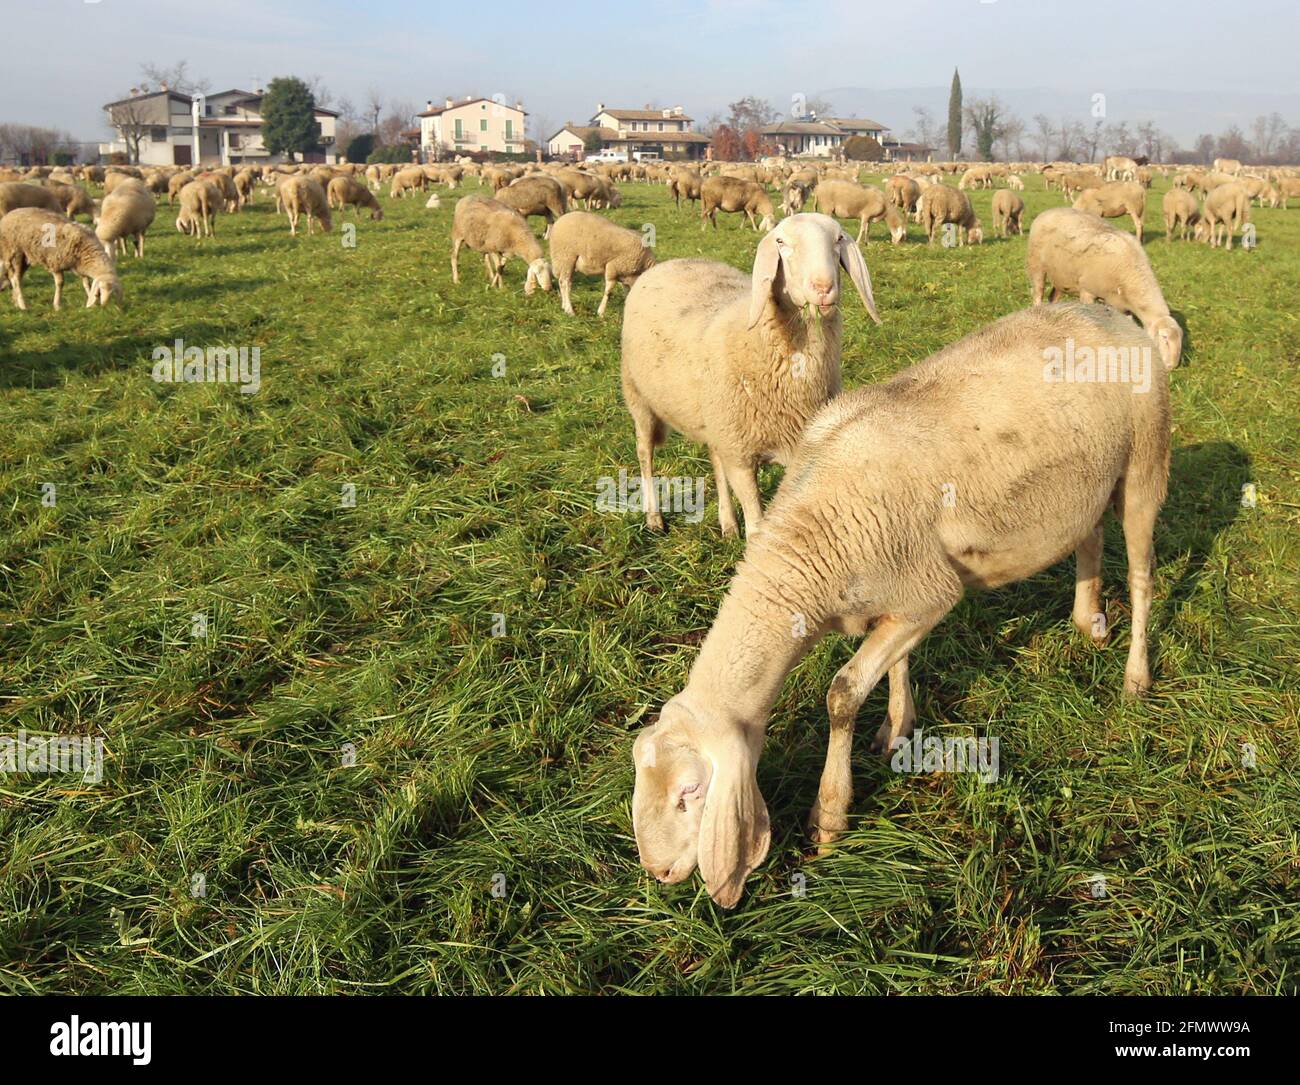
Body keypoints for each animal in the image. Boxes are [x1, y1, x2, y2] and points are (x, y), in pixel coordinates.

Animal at [620, 213, 880, 538]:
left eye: (838, 239)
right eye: (781, 242)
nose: (823, 287)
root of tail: (668, 263)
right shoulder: (741, 457)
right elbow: (756, 525)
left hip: (716, 422)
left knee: (715, 461)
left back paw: (728, 523)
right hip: (639, 398)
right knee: (645, 453)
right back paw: (654, 517)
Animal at [631, 302, 1169, 907]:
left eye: (689, 792)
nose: (659, 873)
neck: (807, 555)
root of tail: (1106, 313)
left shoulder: (931, 593)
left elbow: (842, 694)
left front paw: (829, 817)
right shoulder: (902, 595)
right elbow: (897, 665)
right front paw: (898, 726)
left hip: (1147, 462)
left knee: (1143, 576)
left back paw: (1135, 676)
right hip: (1086, 484)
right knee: (1090, 538)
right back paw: (1087, 620)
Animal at [1027, 207, 1182, 370]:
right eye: (1164, 338)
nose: (1172, 367)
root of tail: (1049, 211)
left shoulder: (1120, 306)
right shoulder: (1087, 292)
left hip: (1061, 277)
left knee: (1053, 297)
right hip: (1036, 264)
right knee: (1037, 293)